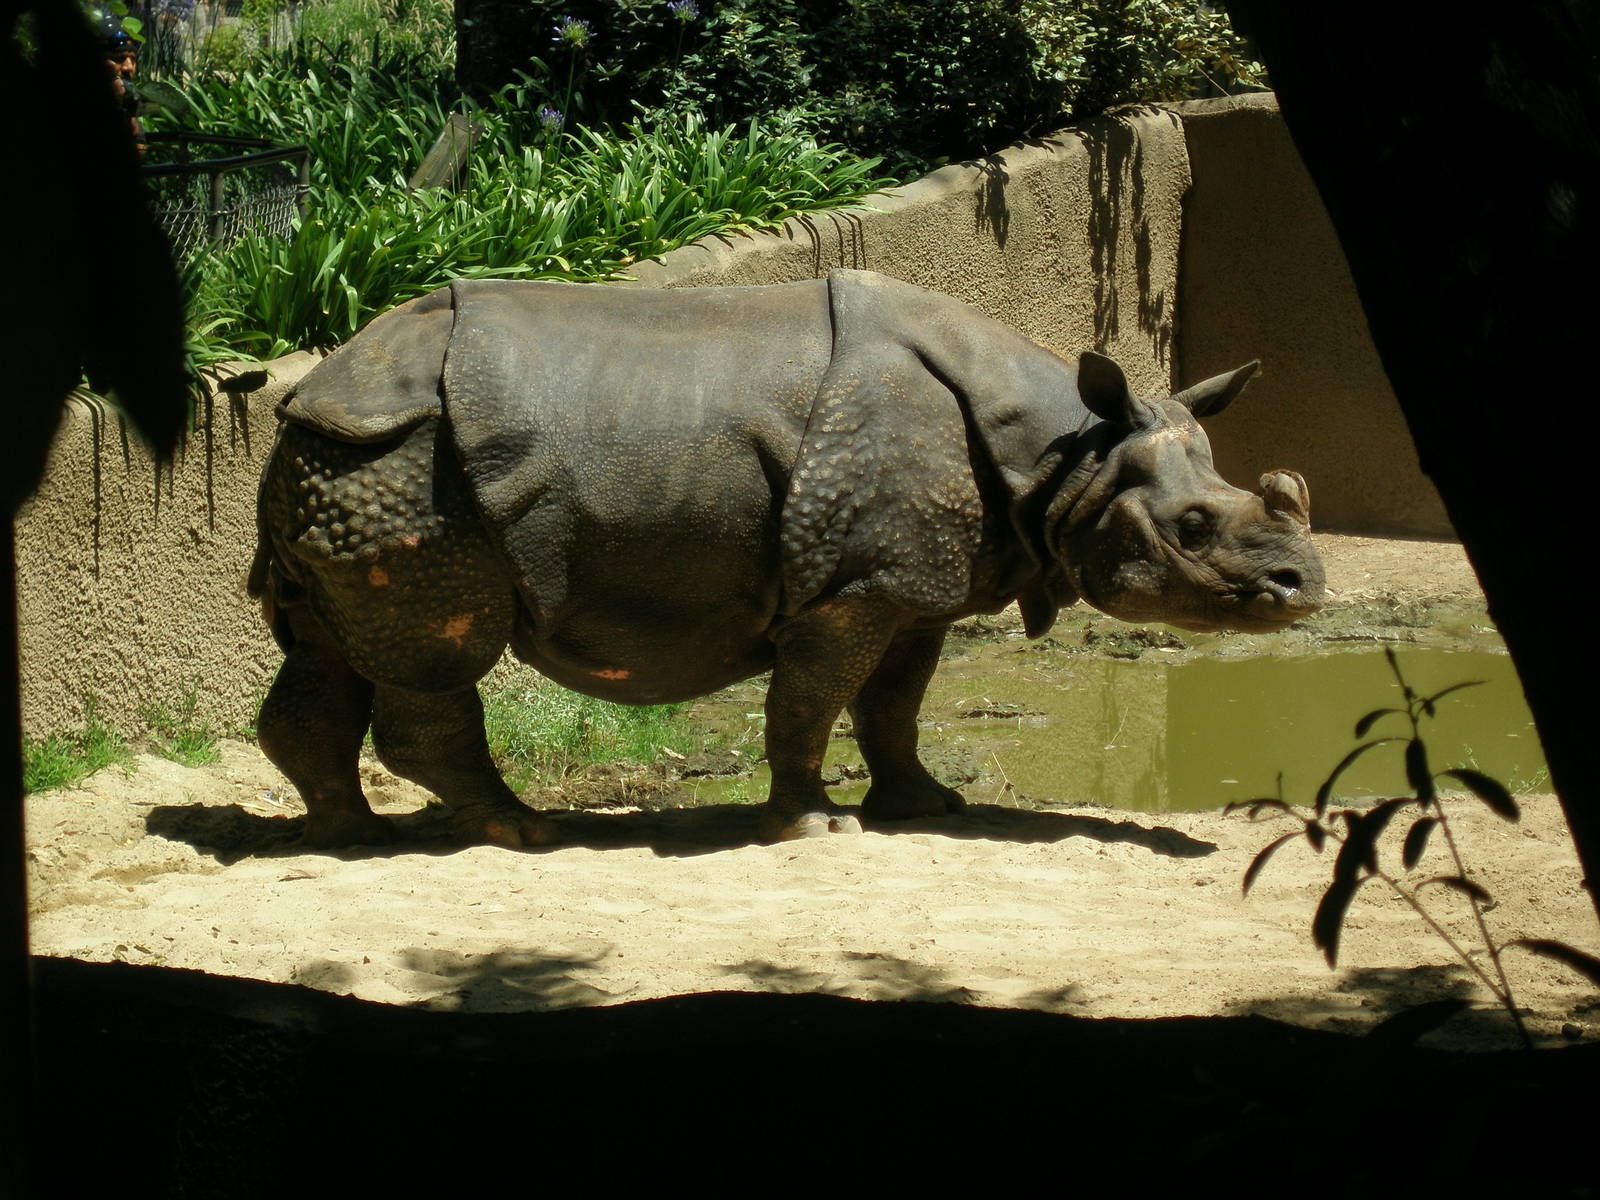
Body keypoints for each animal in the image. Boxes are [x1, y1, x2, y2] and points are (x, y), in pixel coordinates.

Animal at [250, 269, 1324, 846]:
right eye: (1195, 528)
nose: (1303, 586)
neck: (1069, 456)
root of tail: (302, 396)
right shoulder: (853, 585)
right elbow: (811, 701)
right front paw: (817, 828)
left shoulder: (910, 585)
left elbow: (894, 705)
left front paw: (928, 809)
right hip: (404, 456)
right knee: (438, 649)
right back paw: (519, 831)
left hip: (350, 463)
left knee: (330, 645)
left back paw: (349, 839)